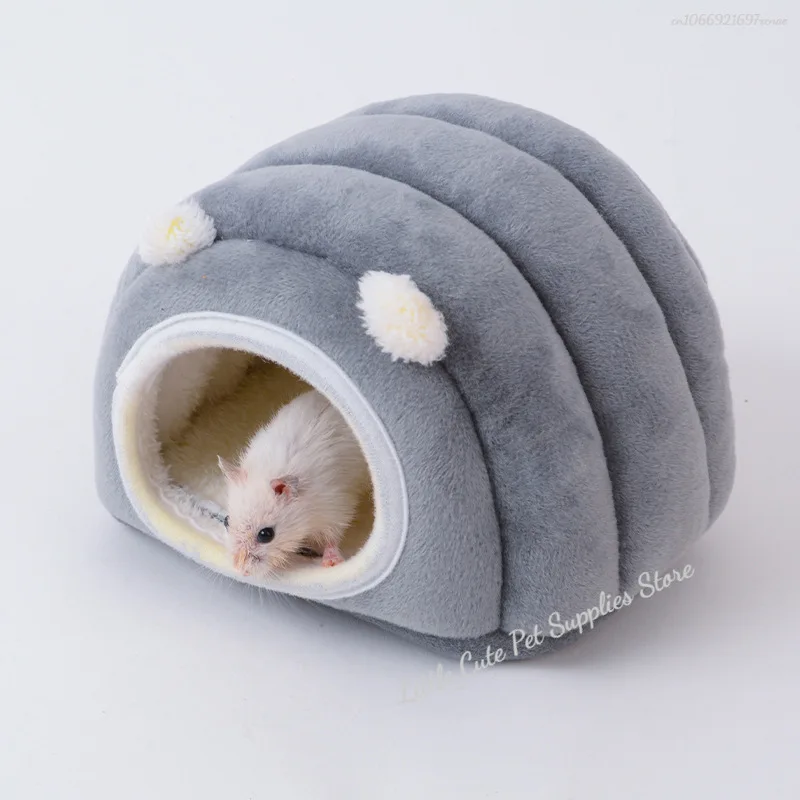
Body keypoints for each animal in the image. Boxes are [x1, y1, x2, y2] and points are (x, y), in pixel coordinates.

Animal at [218, 390, 369, 578]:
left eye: (266, 535)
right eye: (226, 521)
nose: (239, 570)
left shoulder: (336, 509)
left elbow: (332, 538)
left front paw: (331, 563)